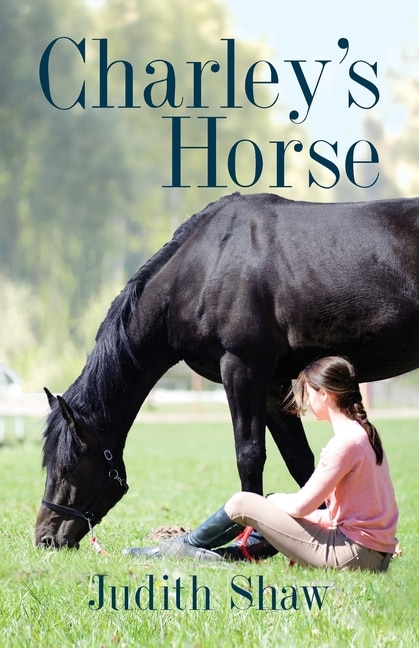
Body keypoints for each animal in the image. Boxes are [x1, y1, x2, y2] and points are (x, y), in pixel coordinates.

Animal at [35, 192, 419, 549]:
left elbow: (249, 455)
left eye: (69, 467)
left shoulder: (242, 367)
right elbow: (301, 461)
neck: (201, 268)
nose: (45, 539)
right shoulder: (272, 384)